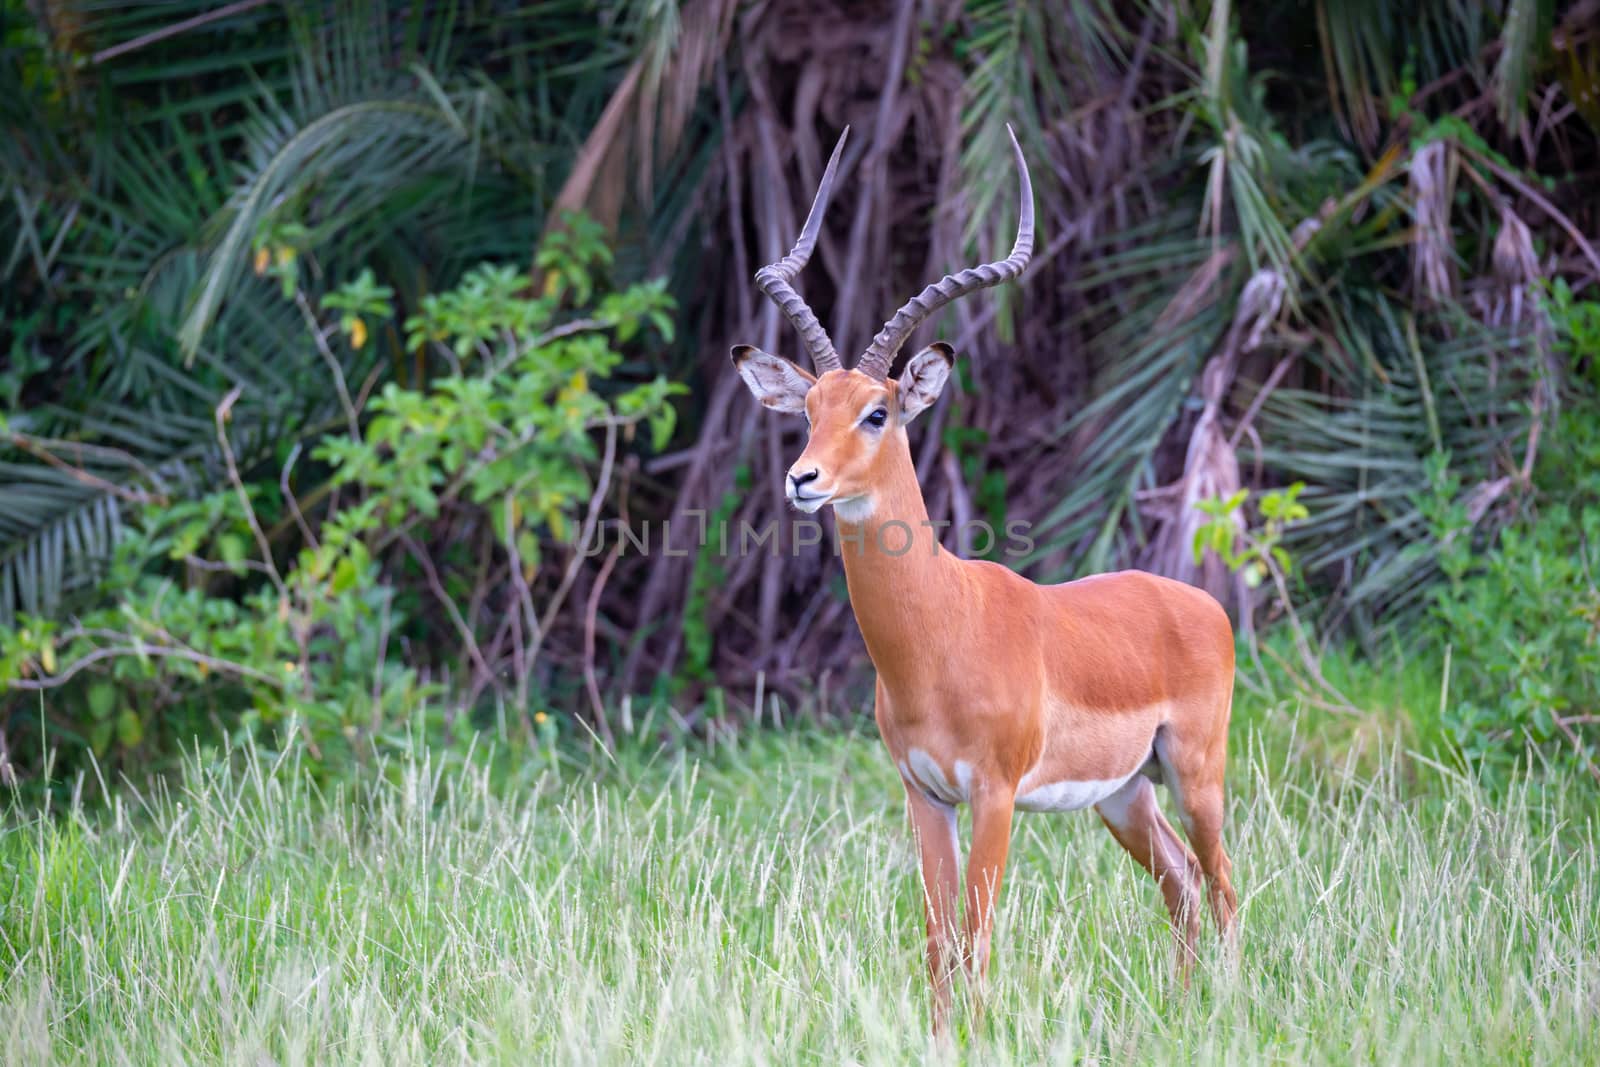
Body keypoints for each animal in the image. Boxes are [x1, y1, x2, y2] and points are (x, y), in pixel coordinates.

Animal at [732, 127, 1241, 1036]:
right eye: (809, 409)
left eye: (878, 411)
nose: (803, 478)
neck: (938, 631)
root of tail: (1199, 603)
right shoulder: (923, 793)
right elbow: (938, 938)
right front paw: (939, 1037)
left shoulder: (995, 795)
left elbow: (976, 931)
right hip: (1126, 796)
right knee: (1182, 886)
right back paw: (1184, 1013)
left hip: (1196, 775)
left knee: (1223, 889)